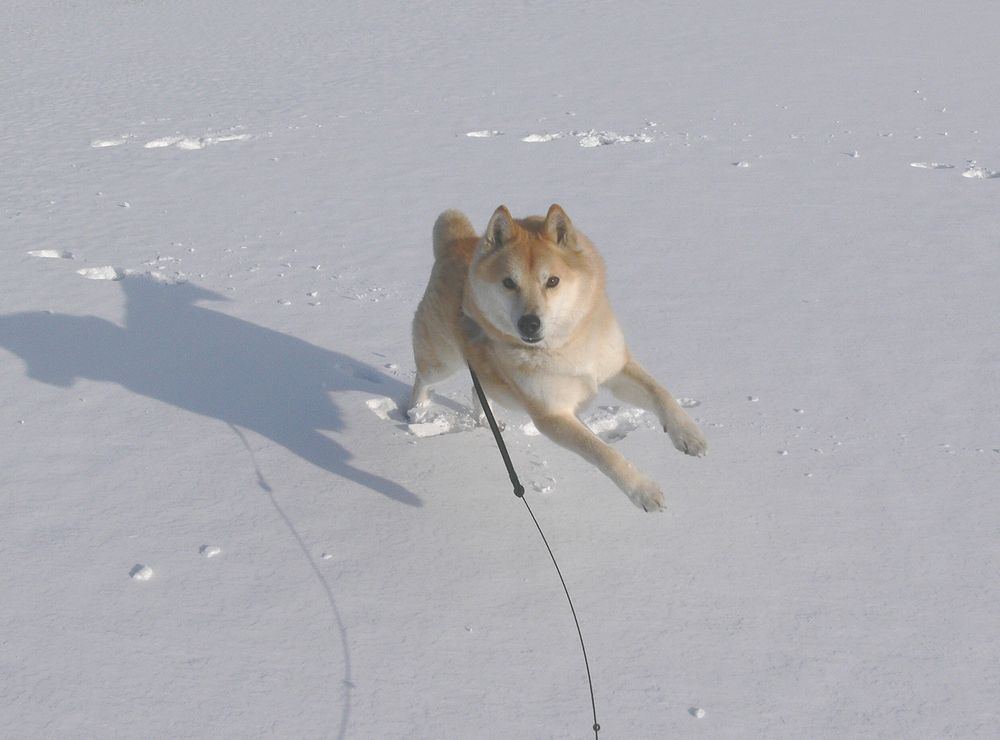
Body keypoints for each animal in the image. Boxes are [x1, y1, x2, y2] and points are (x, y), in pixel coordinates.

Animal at [406, 205, 704, 512]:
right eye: (509, 283)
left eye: (552, 281)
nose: (529, 323)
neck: (565, 345)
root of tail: (455, 243)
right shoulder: (552, 415)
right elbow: (603, 452)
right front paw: (644, 491)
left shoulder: (616, 368)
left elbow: (660, 393)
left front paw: (688, 434)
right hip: (442, 359)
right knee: (423, 376)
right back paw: (416, 411)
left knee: (478, 390)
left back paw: (485, 420)